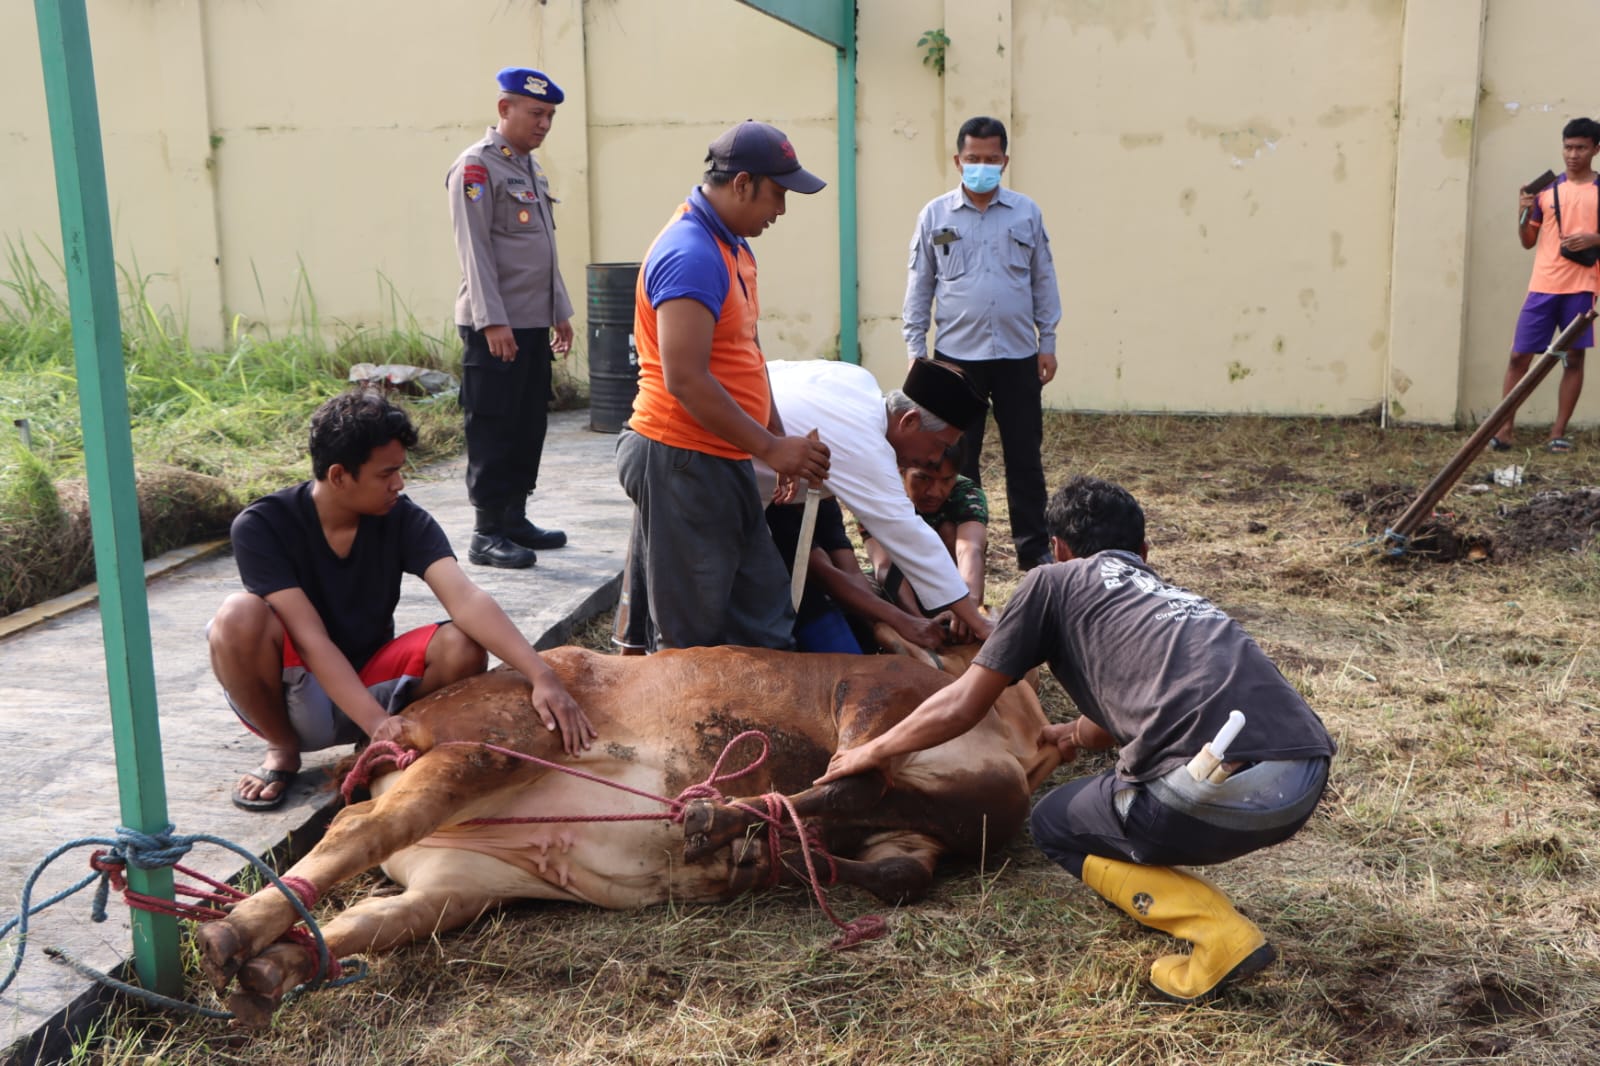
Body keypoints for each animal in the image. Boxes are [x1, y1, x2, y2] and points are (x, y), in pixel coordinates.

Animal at [196, 633, 1062, 1024]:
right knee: (363, 825)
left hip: (458, 886)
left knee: (368, 915)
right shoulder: (875, 694)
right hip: (494, 746)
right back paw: (227, 934)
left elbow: (895, 861)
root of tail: (396, 727)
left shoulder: (947, 816)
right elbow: (852, 783)